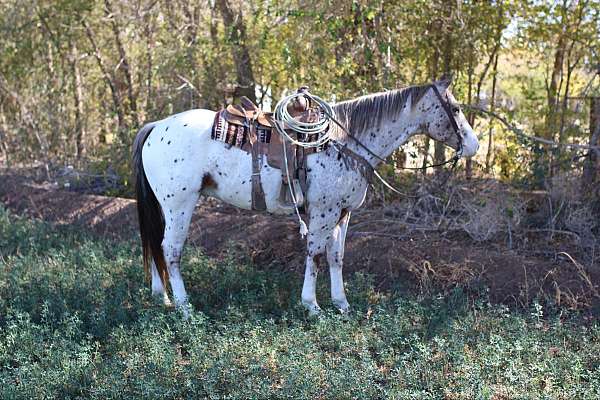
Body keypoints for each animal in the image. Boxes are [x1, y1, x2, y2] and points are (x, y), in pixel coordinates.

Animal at [134, 77, 480, 316]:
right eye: (456, 108)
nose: (474, 146)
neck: (344, 141)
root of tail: (157, 126)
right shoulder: (324, 211)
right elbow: (314, 255)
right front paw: (311, 305)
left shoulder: (343, 213)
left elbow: (336, 256)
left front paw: (342, 304)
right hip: (179, 205)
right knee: (170, 250)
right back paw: (183, 306)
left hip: (165, 206)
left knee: (155, 245)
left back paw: (161, 297)